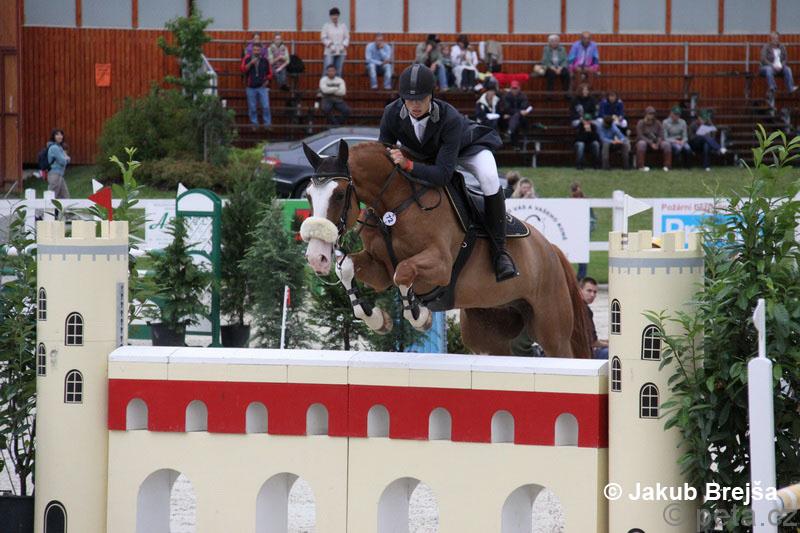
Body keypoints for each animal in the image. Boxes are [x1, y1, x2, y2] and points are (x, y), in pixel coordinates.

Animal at [299, 140, 592, 357]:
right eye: (308, 196)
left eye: (339, 195)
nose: (316, 257)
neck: (395, 205)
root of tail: (551, 250)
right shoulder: (379, 267)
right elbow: (348, 267)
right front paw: (377, 319)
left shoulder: (440, 265)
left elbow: (403, 272)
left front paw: (420, 316)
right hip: (489, 330)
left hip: (551, 328)